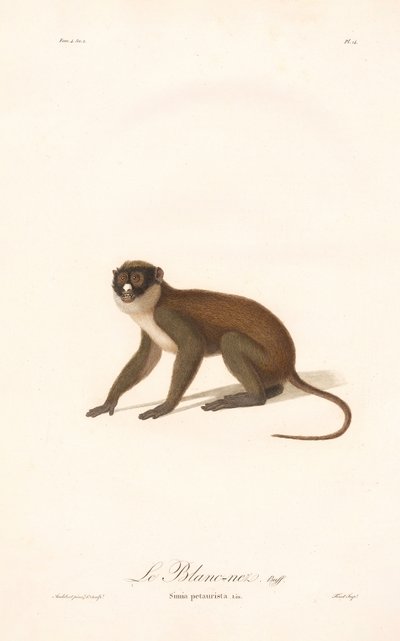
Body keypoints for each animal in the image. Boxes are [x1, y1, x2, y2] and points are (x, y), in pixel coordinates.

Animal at [86, 260, 351, 440]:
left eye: (137, 278)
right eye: (123, 278)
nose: (126, 289)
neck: (153, 304)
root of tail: (289, 364)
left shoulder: (167, 315)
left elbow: (193, 346)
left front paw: (166, 406)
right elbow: (146, 358)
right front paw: (109, 402)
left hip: (269, 360)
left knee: (231, 340)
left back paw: (255, 397)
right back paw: (272, 390)